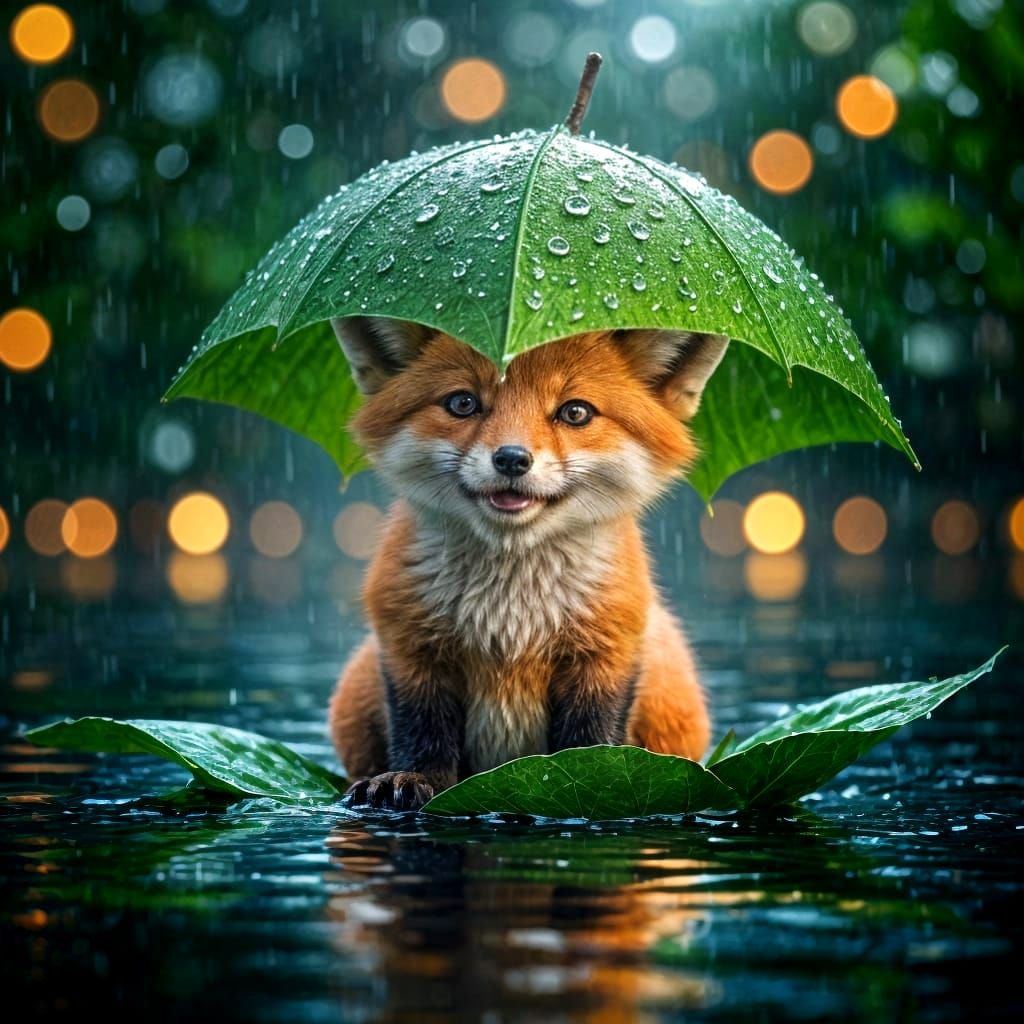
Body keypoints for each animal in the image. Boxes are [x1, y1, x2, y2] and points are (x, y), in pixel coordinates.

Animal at [328, 315, 728, 811]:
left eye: (575, 412)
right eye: (463, 403)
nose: (512, 458)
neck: (511, 621)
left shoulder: (608, 655)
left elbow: (589, 744)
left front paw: (596, 783)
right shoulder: (410, 649)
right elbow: (423, 733)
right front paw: (409, 778)